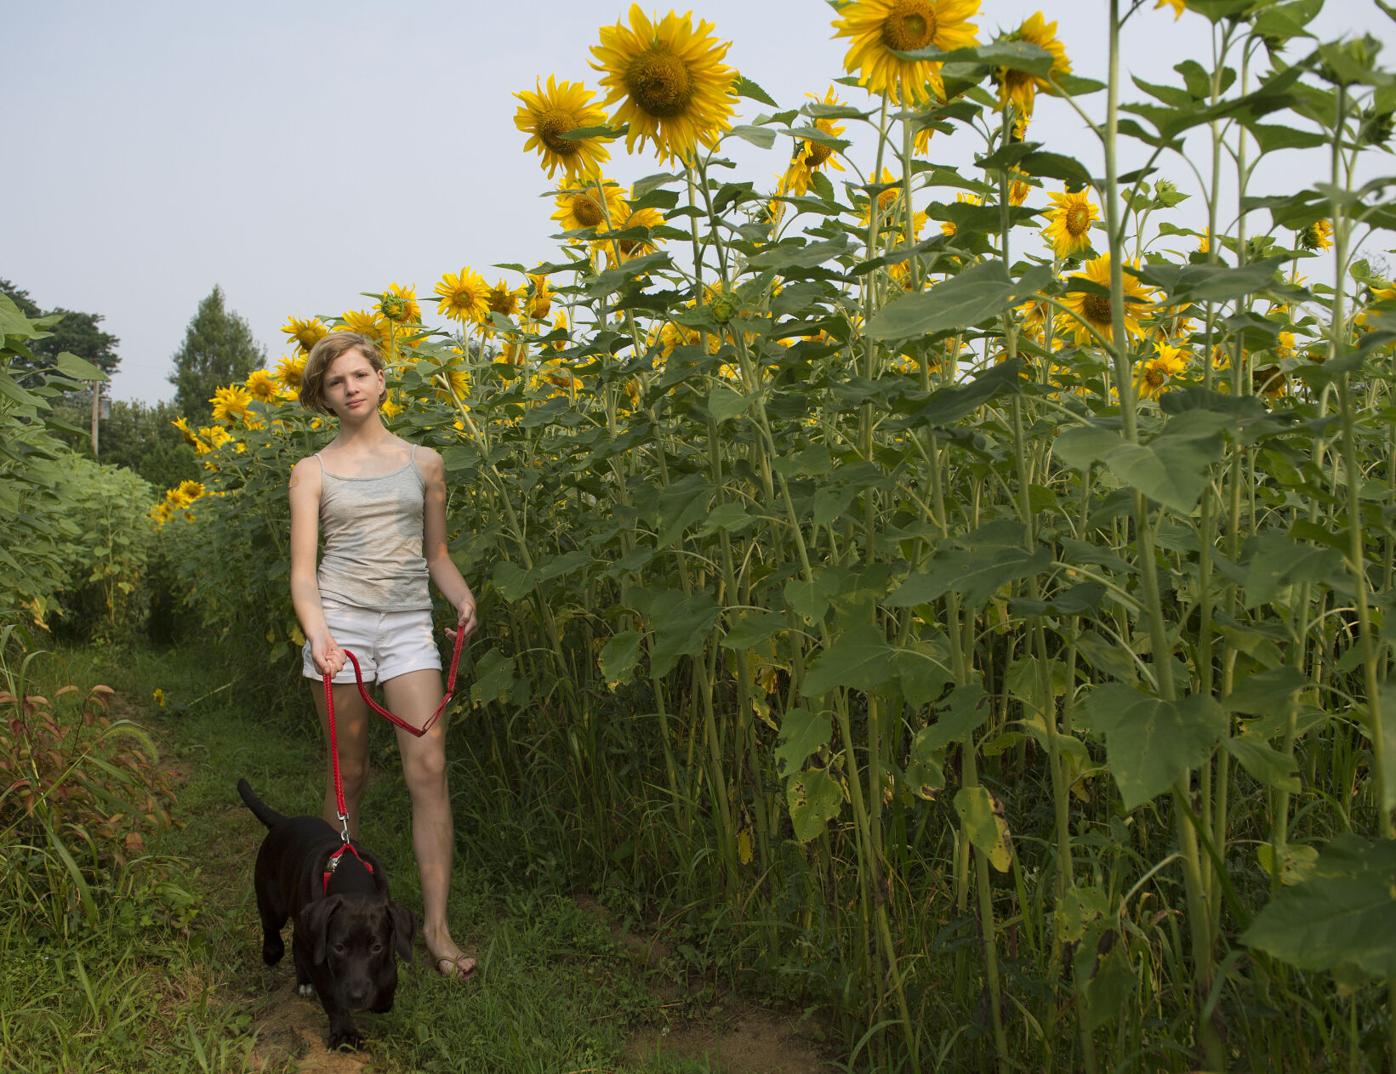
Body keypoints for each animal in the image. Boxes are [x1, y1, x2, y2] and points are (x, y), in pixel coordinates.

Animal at [237, 782, 413, 1050]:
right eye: (338, 948)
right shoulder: (321, 953)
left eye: (376, 947)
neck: (351, 880)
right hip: (273, 900)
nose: (357, 997)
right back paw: (274, 954)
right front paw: (344, 1032)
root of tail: (282, 822)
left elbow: (389, 972)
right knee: (273, 928)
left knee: (296, 940)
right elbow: (331, 992)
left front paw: (383, 1000)